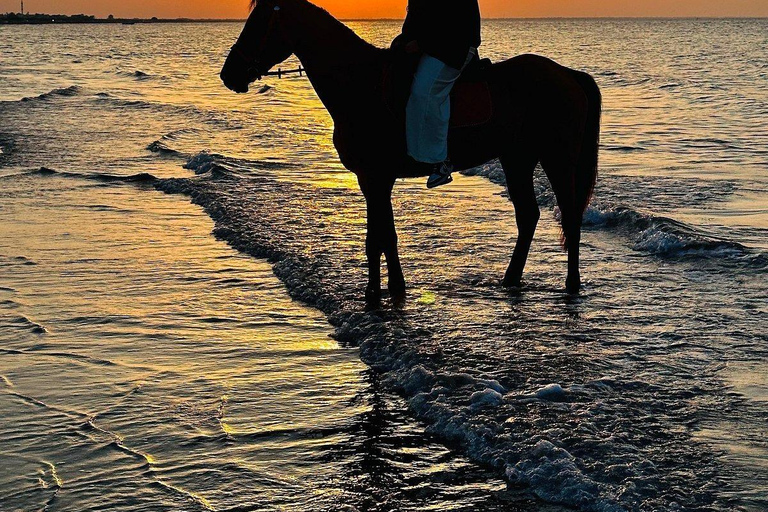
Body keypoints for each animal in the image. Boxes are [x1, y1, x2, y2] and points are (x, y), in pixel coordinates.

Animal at [220, 0, 602, 304]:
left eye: (258, 23)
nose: (228, 75)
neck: (358, 83)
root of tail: (568, 75)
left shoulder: (374, 177)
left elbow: (378, 237)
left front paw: (377, 294)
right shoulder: (373, 180)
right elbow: (383, 236)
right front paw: (391, 289)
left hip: (556, 158)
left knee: (569, 216)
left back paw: (572, 285)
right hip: (516, 158)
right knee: (528, 215)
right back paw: (510, 280)